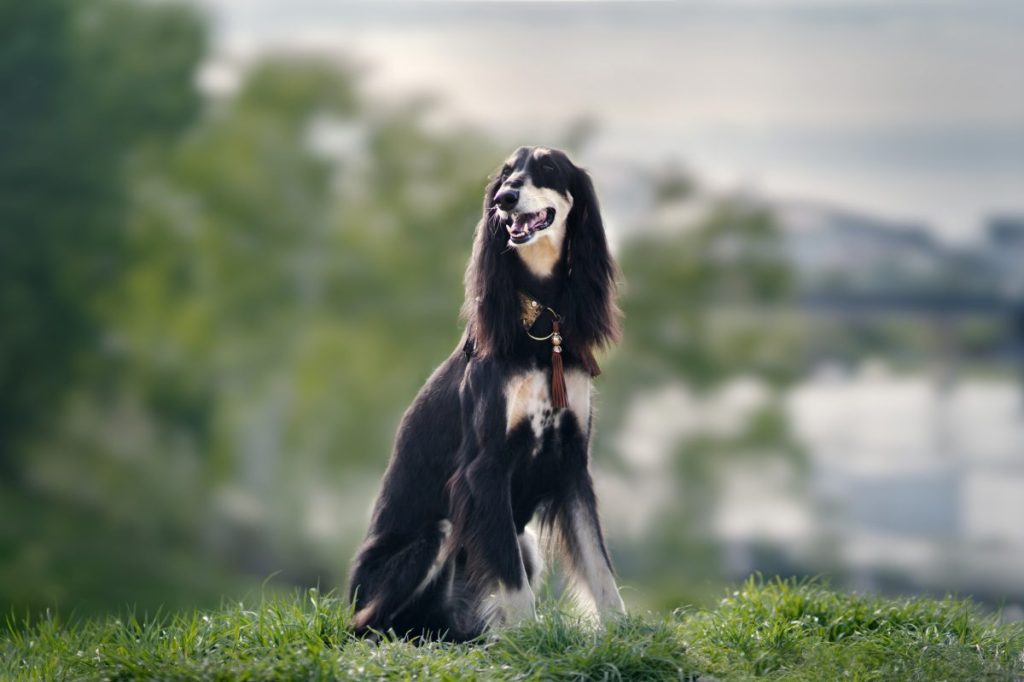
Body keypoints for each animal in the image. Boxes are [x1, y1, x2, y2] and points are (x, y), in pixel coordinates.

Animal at [348, 146, 622, 638]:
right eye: (507, 172)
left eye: (547, 169)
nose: (505, 199)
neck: (541, 321)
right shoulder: (486, 467)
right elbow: (512, 581)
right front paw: (531, 637)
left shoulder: (572, 461)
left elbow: (599, 563)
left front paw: (627, 631)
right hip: (432, 536)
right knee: (369, 624)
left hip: (523, 543)